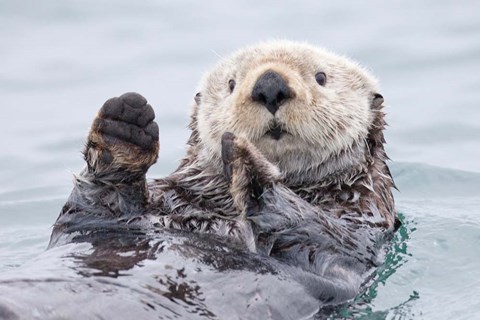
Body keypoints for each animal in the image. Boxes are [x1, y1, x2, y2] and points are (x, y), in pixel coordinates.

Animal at [49, 40, 398, 308]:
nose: (270, 84)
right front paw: (124, 126)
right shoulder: (120, 214)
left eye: (321, 77)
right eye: (231, 84)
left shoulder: (359, 226)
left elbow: (319, 228)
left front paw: (248, 163)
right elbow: (91, 209)